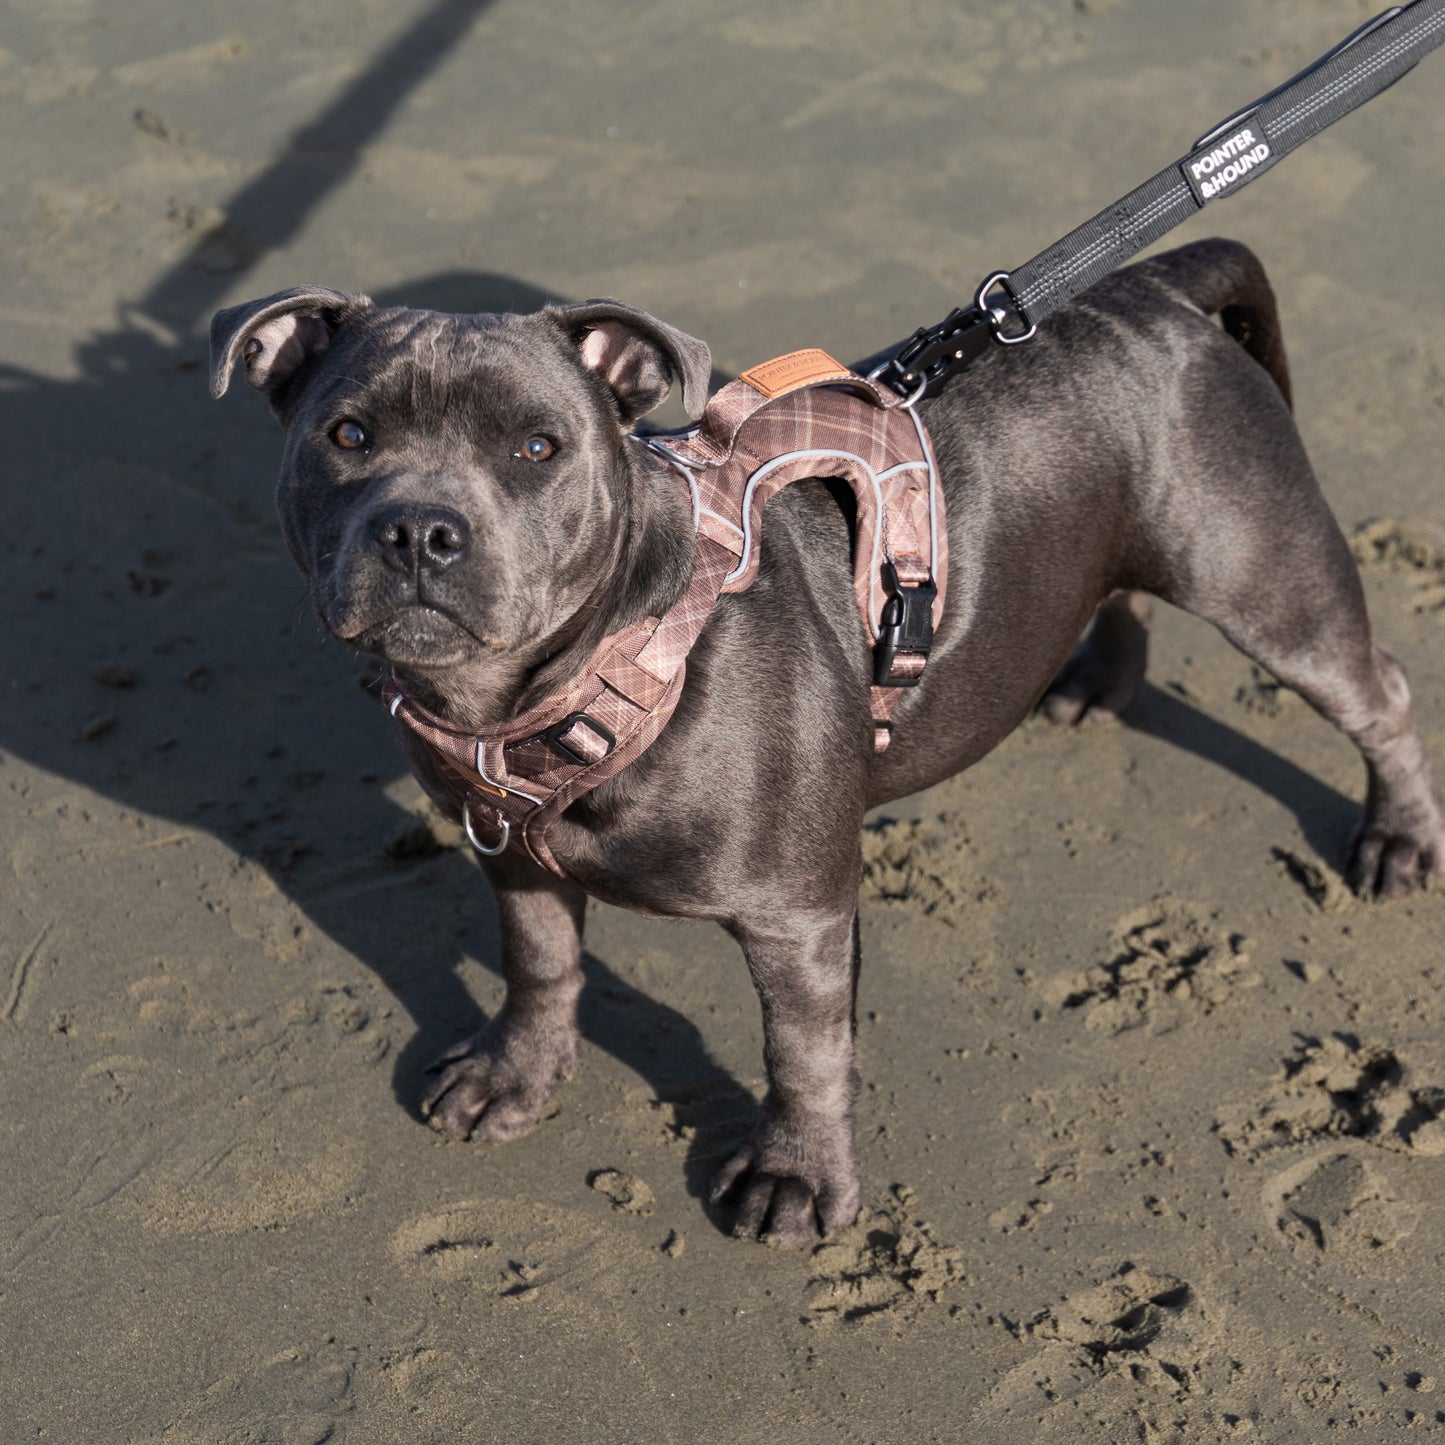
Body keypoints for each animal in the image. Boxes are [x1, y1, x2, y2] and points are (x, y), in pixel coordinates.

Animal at [209, 242, 1439, 1248]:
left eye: (538, 446)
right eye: (348, 435)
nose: (419, 528)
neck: (568, 678)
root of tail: (1154, 286)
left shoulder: (795, 912)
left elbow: (801, 1050)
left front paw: (795, 1179)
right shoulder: (512, 861)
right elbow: (539, 966)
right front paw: (515, 1074)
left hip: (1264, 579)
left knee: (1377, 692)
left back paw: (1398, 839)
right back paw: (1098, 680)